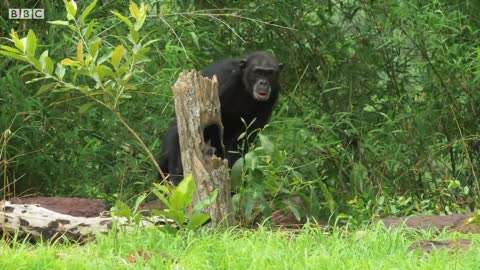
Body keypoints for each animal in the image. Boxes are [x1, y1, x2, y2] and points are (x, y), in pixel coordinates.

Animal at [159, 51, 284, 185]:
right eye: (258, 72)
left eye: (269, 73)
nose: (263, 82)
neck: (244, 84)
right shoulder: (226, 80)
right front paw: (177, 177)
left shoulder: (274, 93)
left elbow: (246, 136)